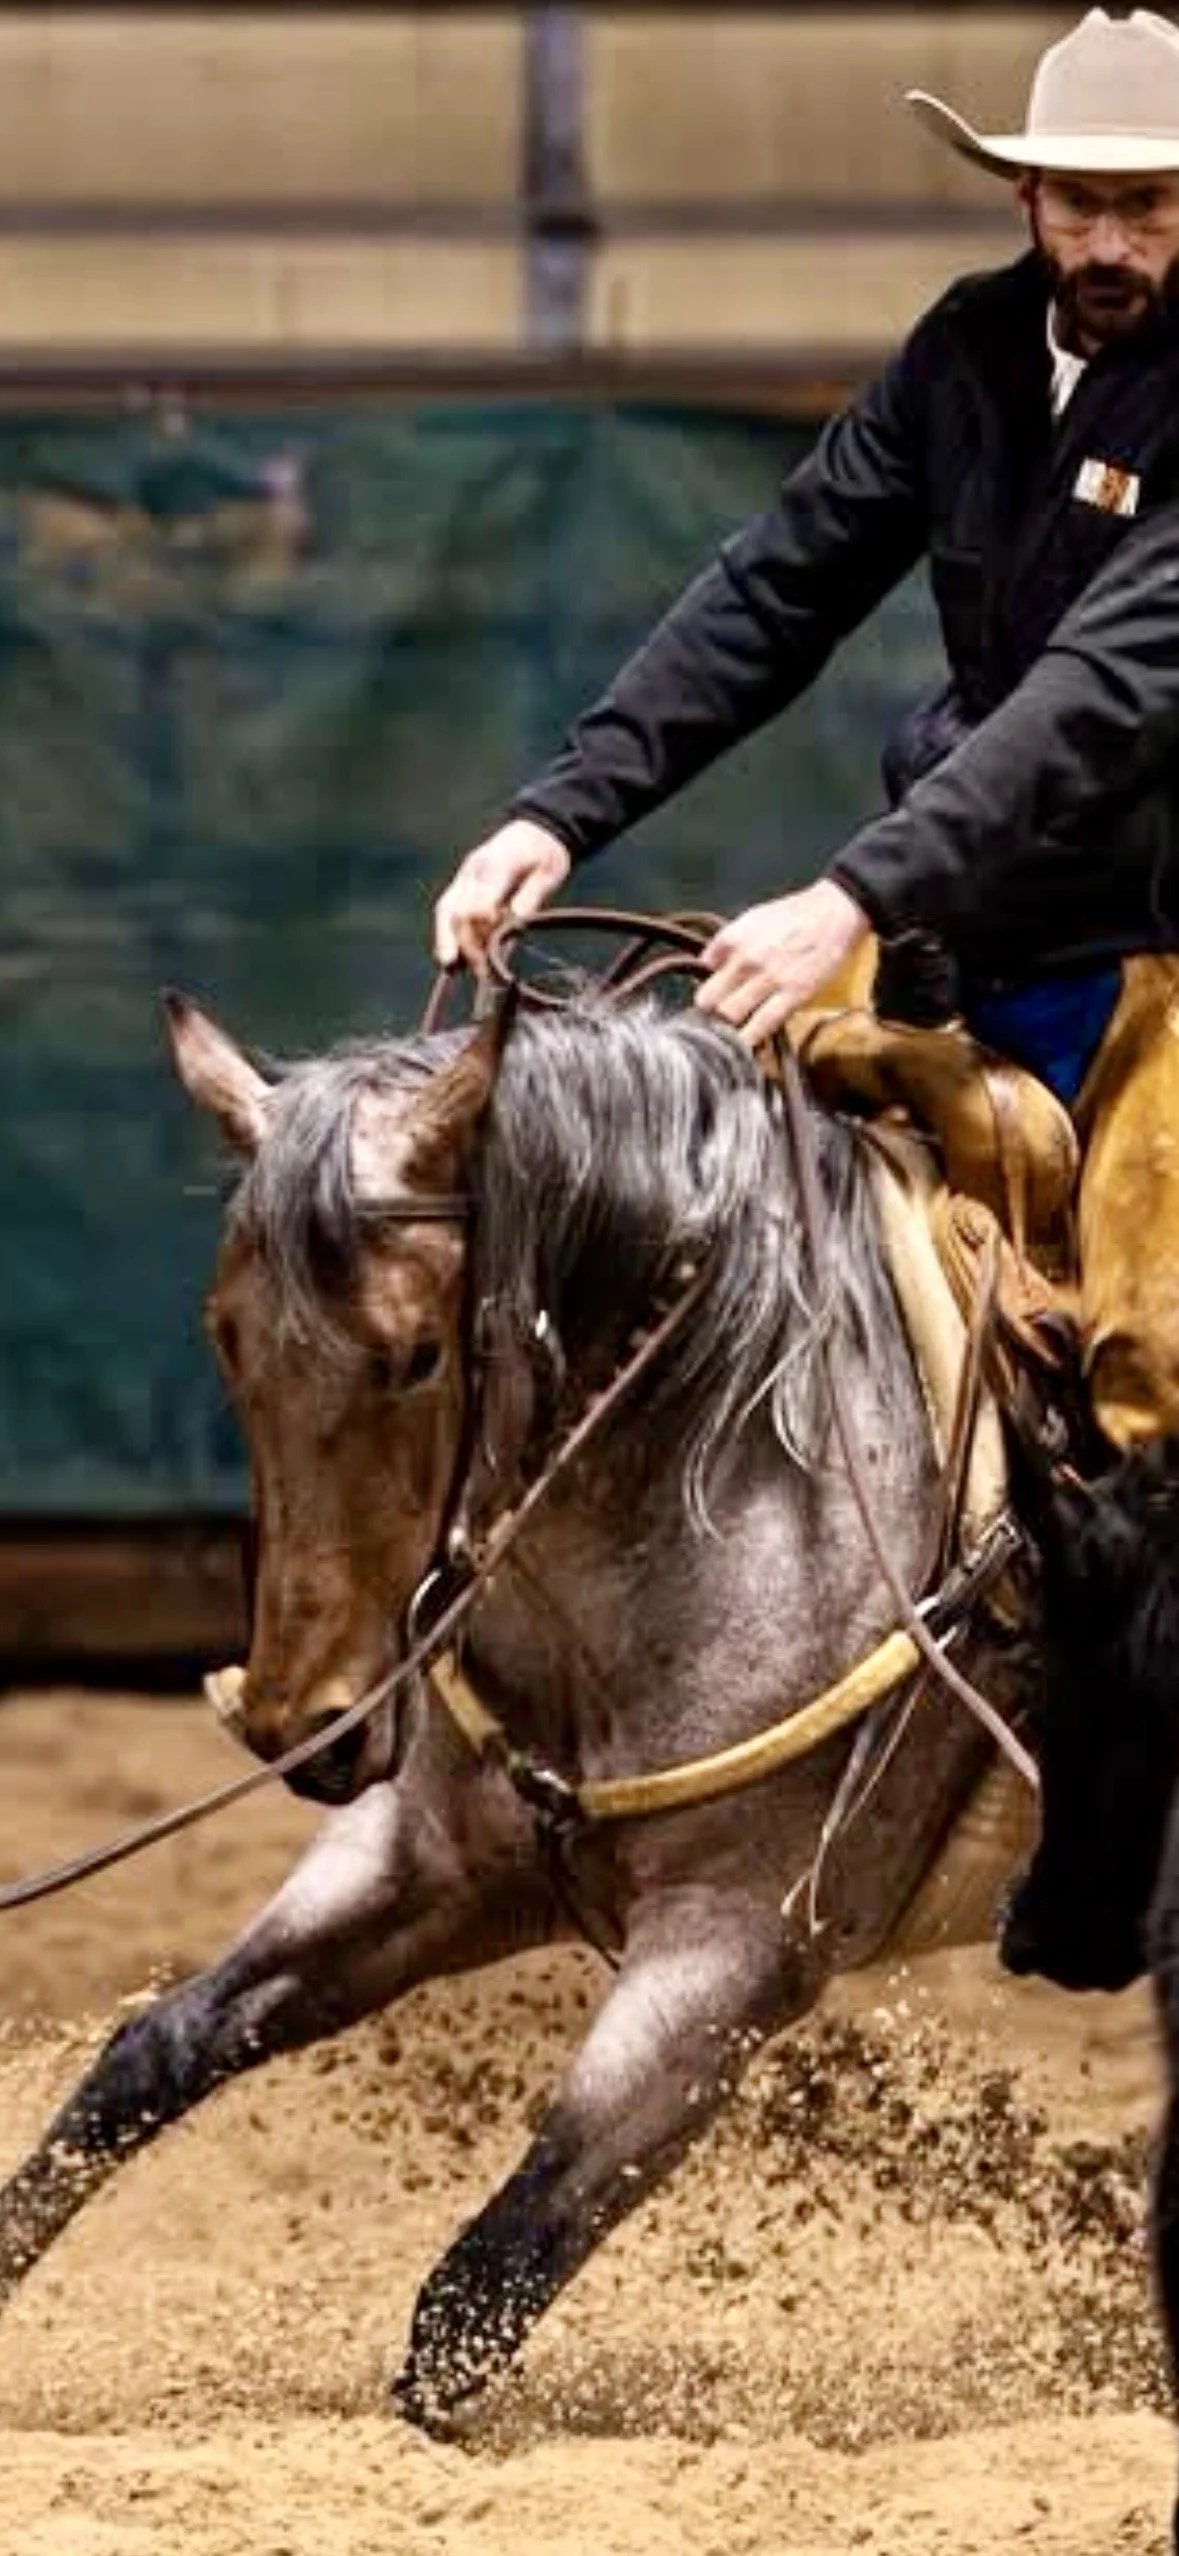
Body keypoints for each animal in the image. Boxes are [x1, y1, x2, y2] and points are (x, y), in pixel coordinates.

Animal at [0, 988, 1041, 2426]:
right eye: (225, 1334)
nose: (302, 1728)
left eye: (416, 1352)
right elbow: (149, 2054)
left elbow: (483, 2281)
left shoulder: (732, 1953)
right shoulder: (422, 1860)